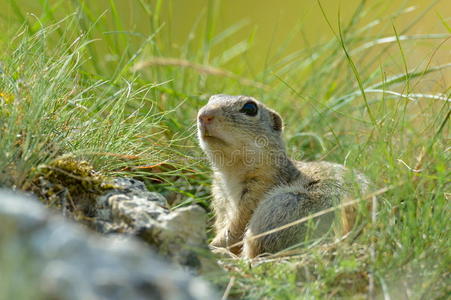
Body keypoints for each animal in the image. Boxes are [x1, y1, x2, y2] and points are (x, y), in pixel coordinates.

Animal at [199, 95, 370, 258]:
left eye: (250, 108)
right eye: (211, 98)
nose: (204, 115)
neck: (230, 172)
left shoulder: (257, 192)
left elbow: (235, 229)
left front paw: (213, 245)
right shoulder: (220, 201)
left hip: (278, 207)